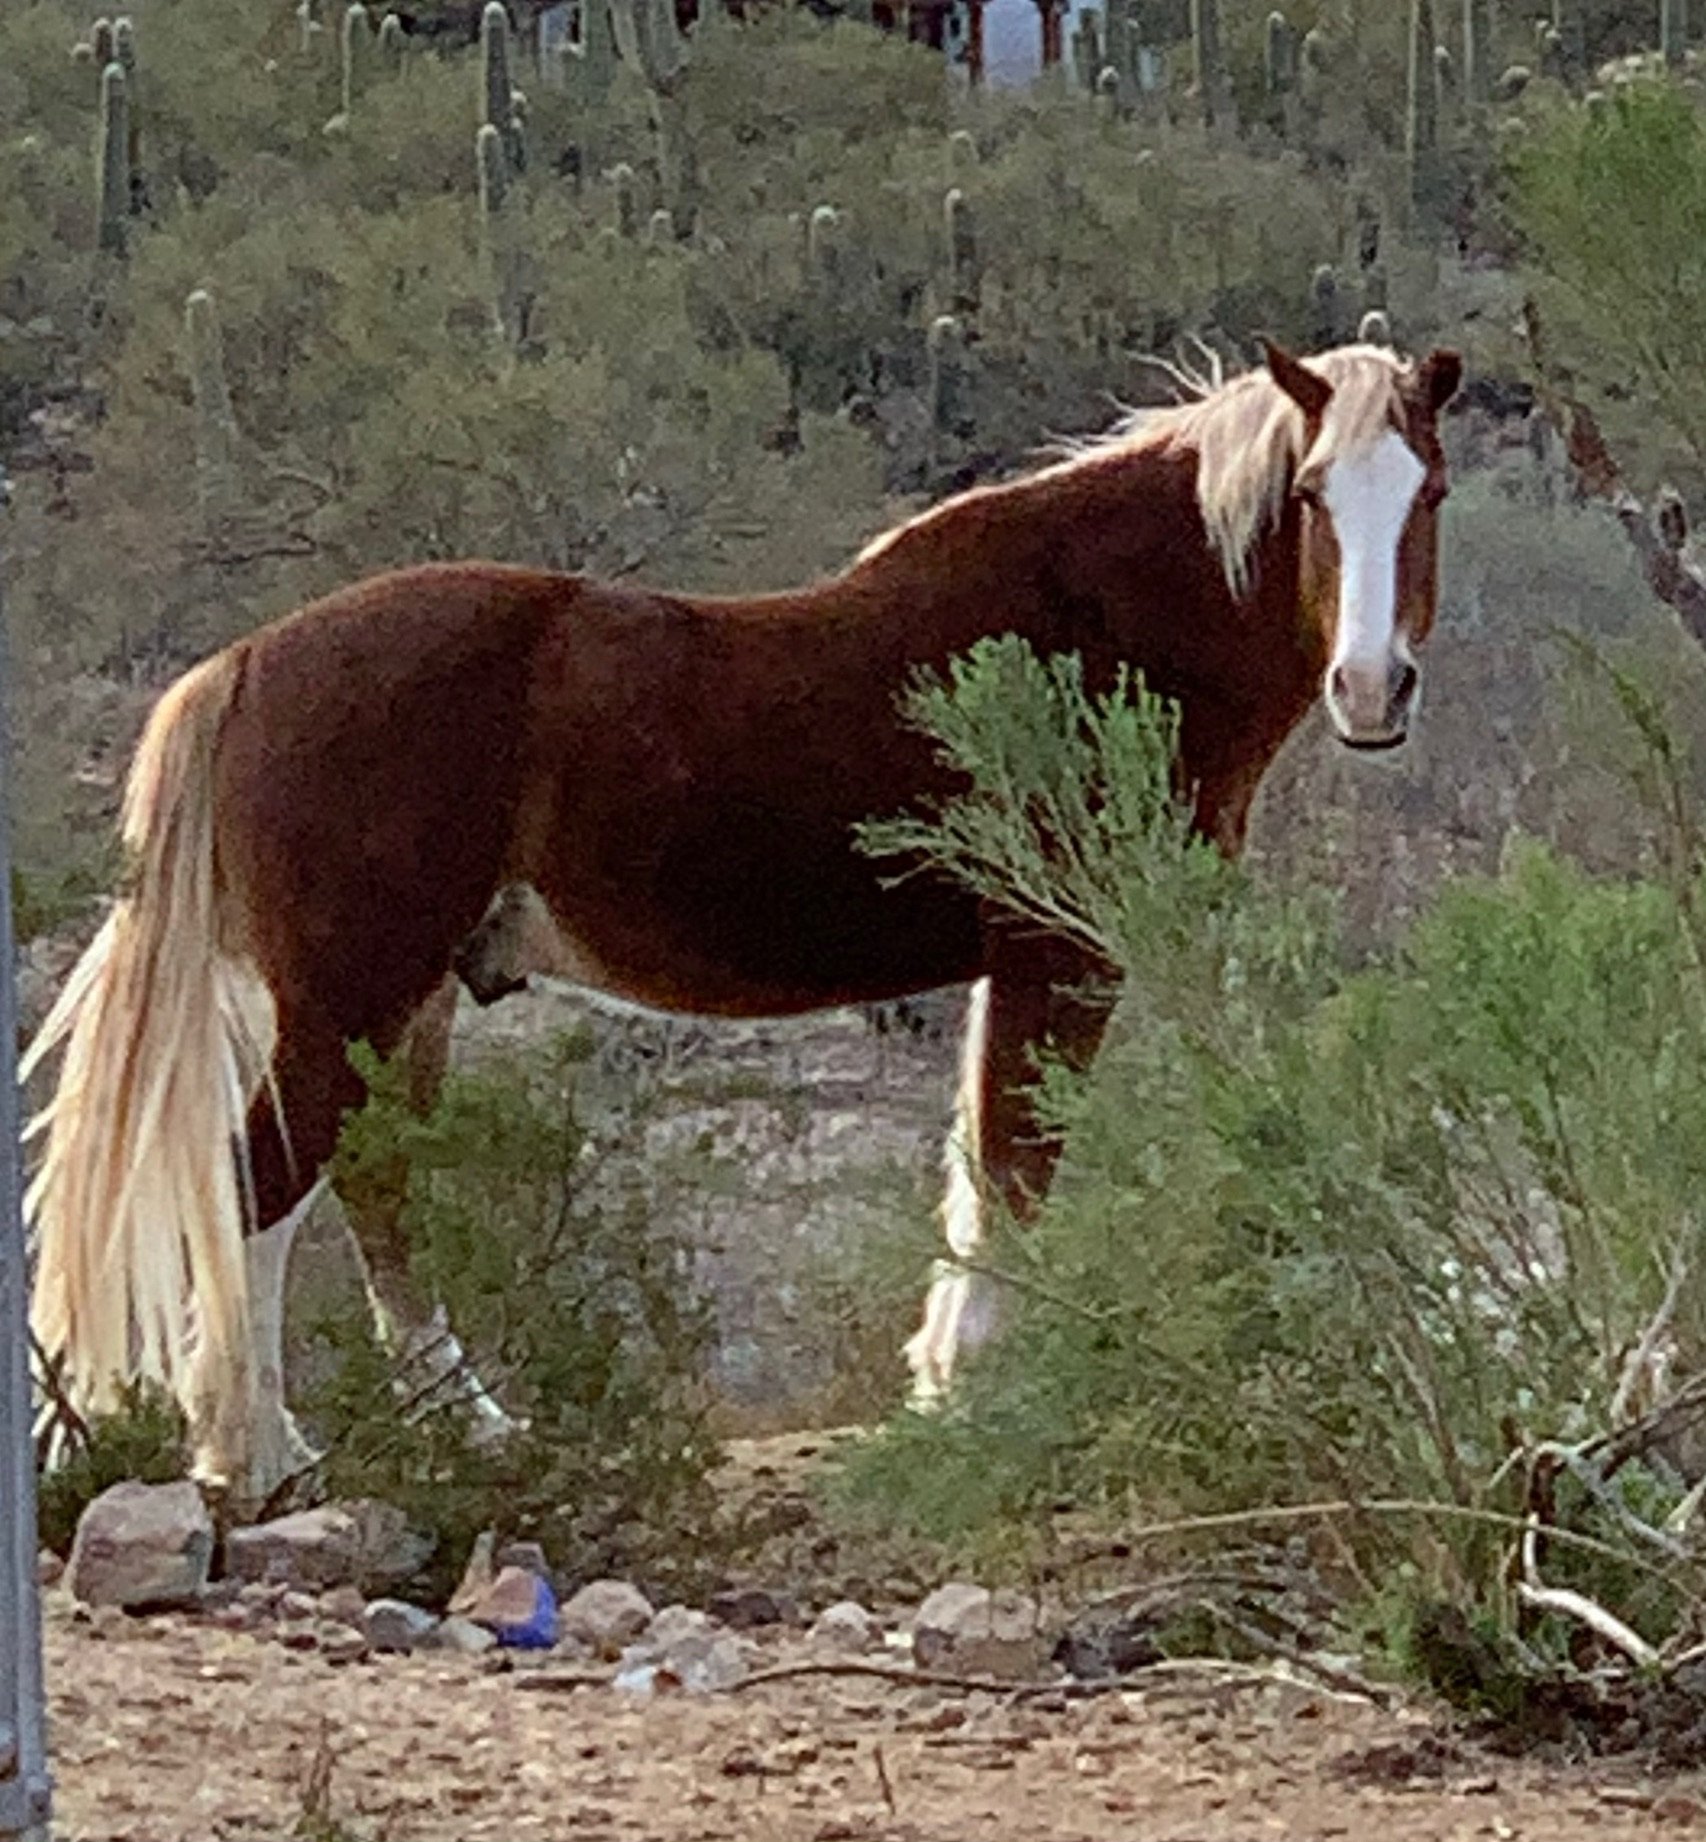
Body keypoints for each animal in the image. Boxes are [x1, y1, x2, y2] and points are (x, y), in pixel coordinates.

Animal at [22, 336, 1461, 1508]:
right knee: (260, 1186)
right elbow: (1016, 1168)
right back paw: (261, 1456)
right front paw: (983, 1391)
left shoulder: (1011, 969)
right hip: (351, 999)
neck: (1097, 622)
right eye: (1311, 495)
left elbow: (980, 1168)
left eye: (1428, 492)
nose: (1371, 688)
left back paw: (468, 1428)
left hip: (404, 1004)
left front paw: (941, 1378)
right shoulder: (1061, 959)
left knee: (378, 1192)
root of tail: (246, 664)